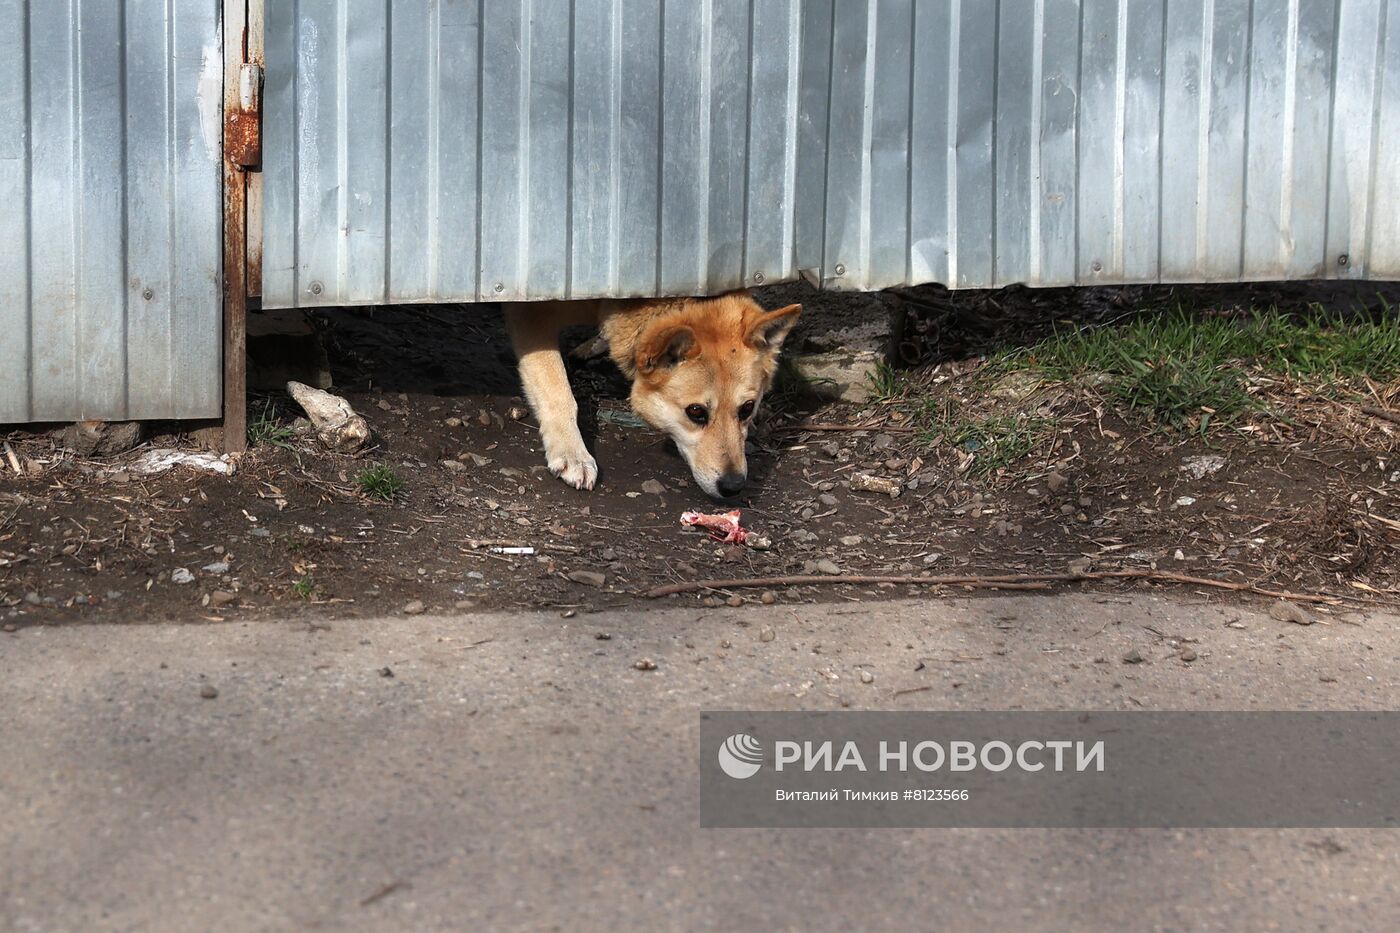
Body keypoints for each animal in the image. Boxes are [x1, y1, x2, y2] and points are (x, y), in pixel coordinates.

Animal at [509, 291, 806, 498]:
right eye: (695, 411)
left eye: (747, 409)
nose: (733, 486)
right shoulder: (532, 313)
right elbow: (557, 390)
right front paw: (572, 453)